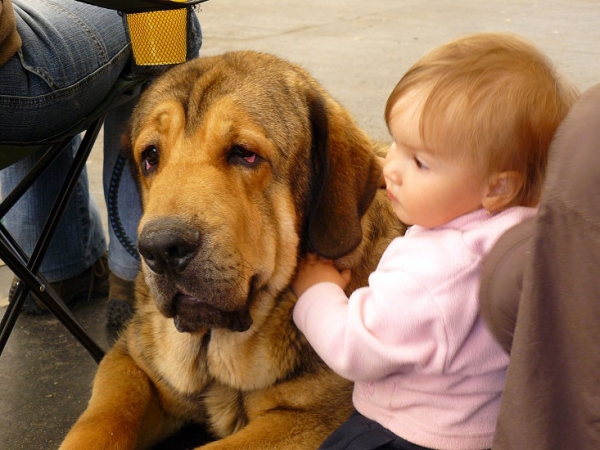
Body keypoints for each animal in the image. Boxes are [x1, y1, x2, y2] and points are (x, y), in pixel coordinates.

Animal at [61, 51, 406, 448]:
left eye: (244, 154)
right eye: (150, 156)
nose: (161, 248)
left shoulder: (309, 418)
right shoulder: (130, 362)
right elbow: (99, 422)